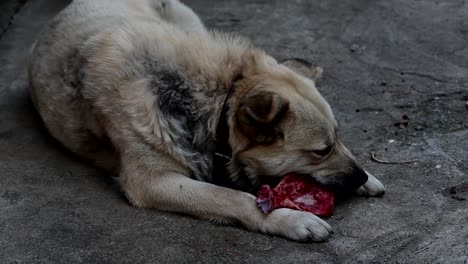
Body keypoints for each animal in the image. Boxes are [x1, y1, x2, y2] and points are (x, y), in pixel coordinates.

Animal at [29, 0, 386, 241]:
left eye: (338, 137)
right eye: (320, 151)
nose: (359, 175)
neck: (216, 97)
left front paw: (366, 179)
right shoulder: (152, 182)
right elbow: (234, 198)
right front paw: (288, 219)